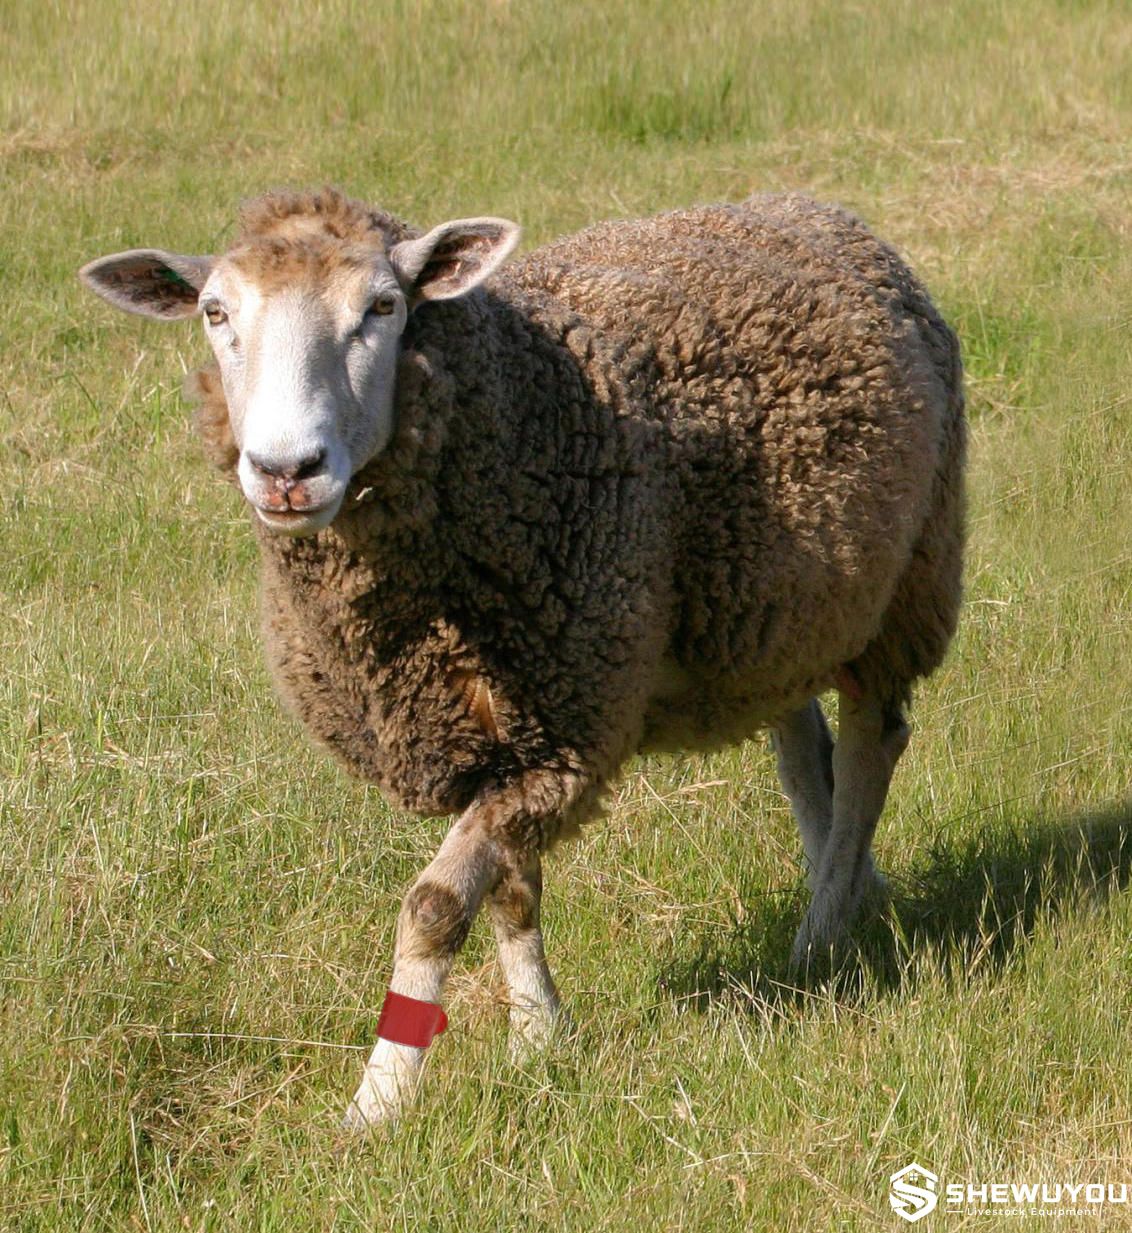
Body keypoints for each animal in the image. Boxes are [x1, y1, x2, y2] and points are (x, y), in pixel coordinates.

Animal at [79, 187, 965, 1126]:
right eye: (215, 313)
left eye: (383, 308)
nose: (287, 470)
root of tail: (818, 206)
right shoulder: (520, 724)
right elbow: (511, 887)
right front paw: (540, 1037)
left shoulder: (564, 721)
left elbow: (434, 905)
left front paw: (379, 1101)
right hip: (769, 615)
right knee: (804, 756)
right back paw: (852, 889)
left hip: (909, 581)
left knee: (870, 749)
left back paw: (822, 934)